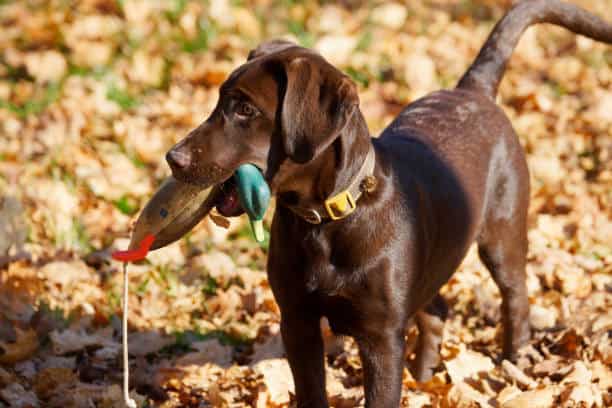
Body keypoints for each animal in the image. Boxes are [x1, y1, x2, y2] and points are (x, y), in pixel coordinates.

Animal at [167, 1, 612, 406]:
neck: (325, 221)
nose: (174, 158)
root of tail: (472, 90)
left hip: (502, 234)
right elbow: (312, 392)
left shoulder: (380, 337)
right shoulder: (298, 320)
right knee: (438, 309)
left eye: (245, 109)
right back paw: (424, 377)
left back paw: (513, 361)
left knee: (515, 298)